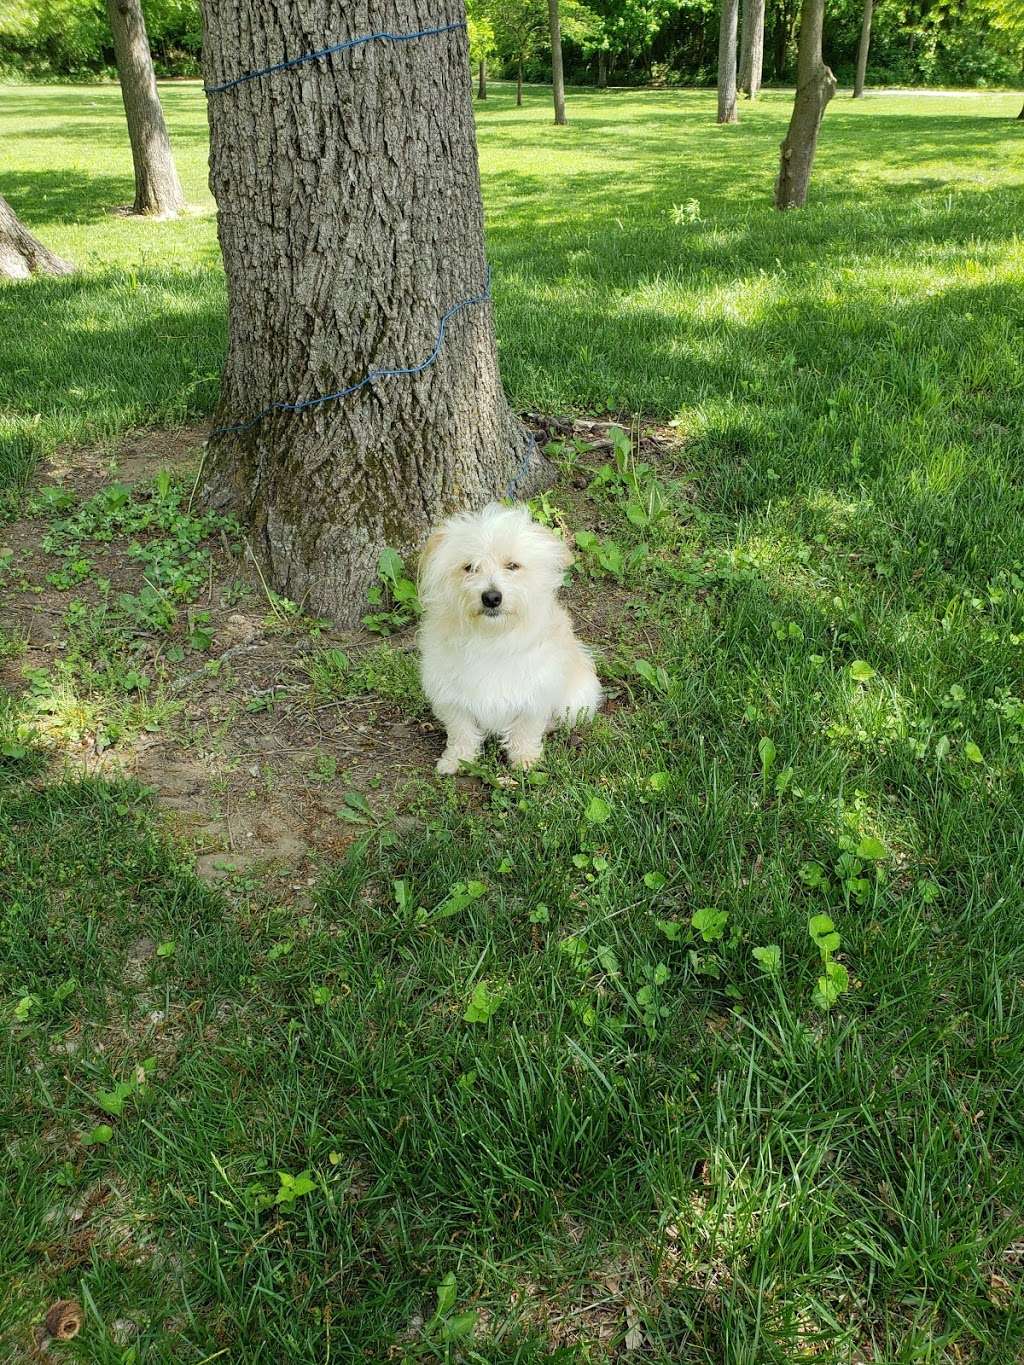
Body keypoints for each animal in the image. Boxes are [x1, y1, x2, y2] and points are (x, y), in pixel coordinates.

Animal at [420, 507, 606, 775]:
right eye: (469, 567)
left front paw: (525, 758)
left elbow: (525, 729)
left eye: (512, 565)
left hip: (575, 701)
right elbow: (461, 731)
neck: (491, 637)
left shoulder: (534, 693)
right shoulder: (451, 696)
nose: (491, 597)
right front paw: (457, 759)